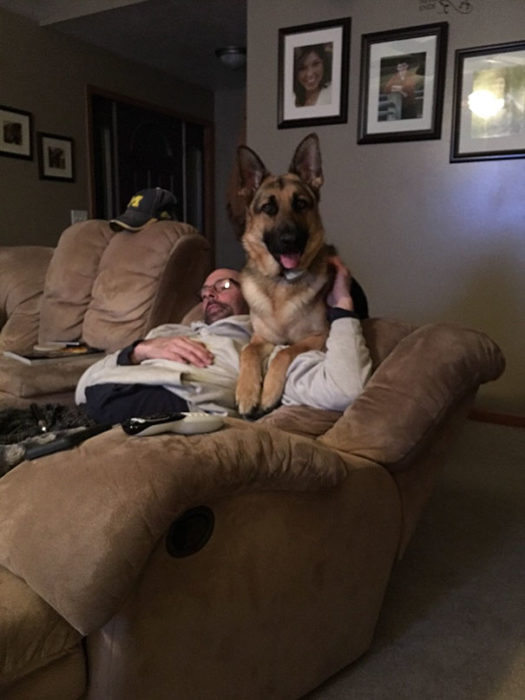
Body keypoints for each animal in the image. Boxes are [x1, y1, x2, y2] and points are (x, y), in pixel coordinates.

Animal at [234, 133, 330, 418]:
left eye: (300, 204)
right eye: (268, 208)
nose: (290, 241)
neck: (280, 284)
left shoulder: (319, 336)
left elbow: (284, 353)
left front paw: (268, 394)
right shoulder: (261, 338)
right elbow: (248, 352)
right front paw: (247, 392)